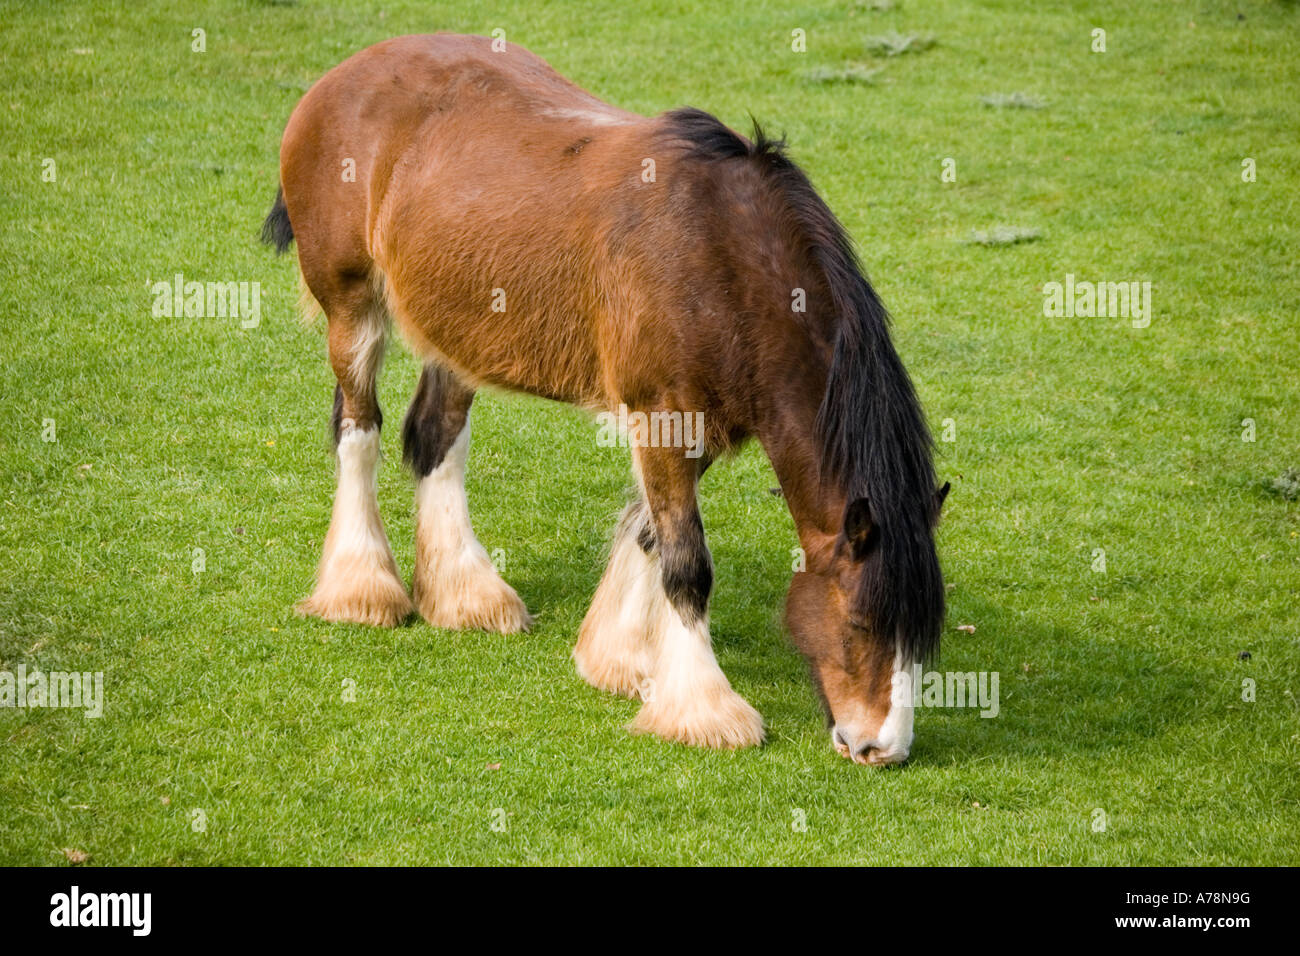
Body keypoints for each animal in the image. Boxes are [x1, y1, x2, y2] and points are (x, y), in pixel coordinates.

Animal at [261, 33, 949, 765]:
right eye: (861, 620)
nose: (883, 746)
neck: (719, 255)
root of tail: (340, 77)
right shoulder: (663, 417)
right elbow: (686, 563)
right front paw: (703, 709)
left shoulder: (695, 426)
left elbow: (649, 533)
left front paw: (622, 661)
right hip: (352, 307)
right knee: (358, 430)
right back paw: (361, 588)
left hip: (457, 331)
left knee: (433, 438)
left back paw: (467, 596)